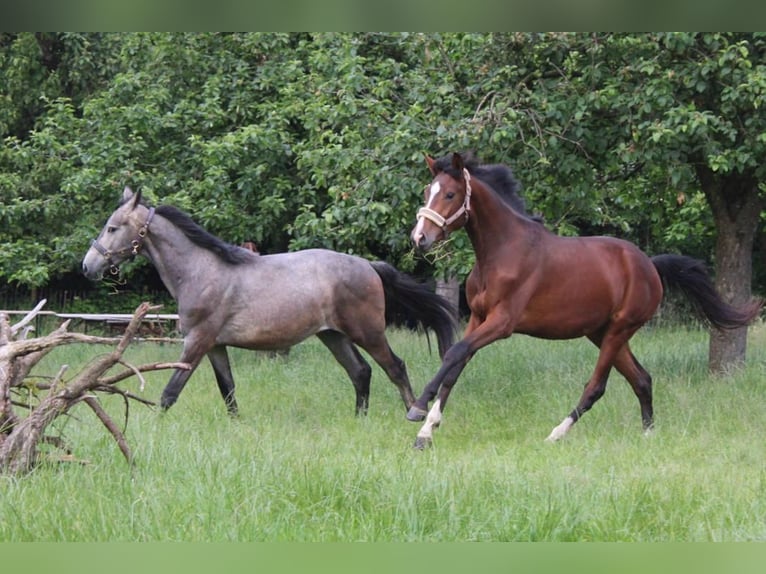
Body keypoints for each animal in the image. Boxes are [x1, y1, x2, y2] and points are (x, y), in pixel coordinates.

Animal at [82, 189, 456, 418]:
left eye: (112, 228)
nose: (88, 266)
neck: (200, 271)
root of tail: (369, 265)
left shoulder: (197, 342)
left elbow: (170, 392)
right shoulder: (215, 346)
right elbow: (228, 391)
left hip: (368, 332)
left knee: (395, 368)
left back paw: (412, 413)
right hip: (333, 335)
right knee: (361, 373)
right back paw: (358, 420)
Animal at [408, 153, 760, 450]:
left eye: (450, 194)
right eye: (427, 191)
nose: (419, 238)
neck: (503, 251)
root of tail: (649, 265)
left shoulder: (502, 322)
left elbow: (455, 352)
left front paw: (417, 408)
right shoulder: (478, 318)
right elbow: (456, 363)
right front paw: (425, 432)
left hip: (619, 330)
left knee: (597, 386)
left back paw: (556, 434)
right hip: (601, 333)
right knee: (642, 379)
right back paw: (648, 435)